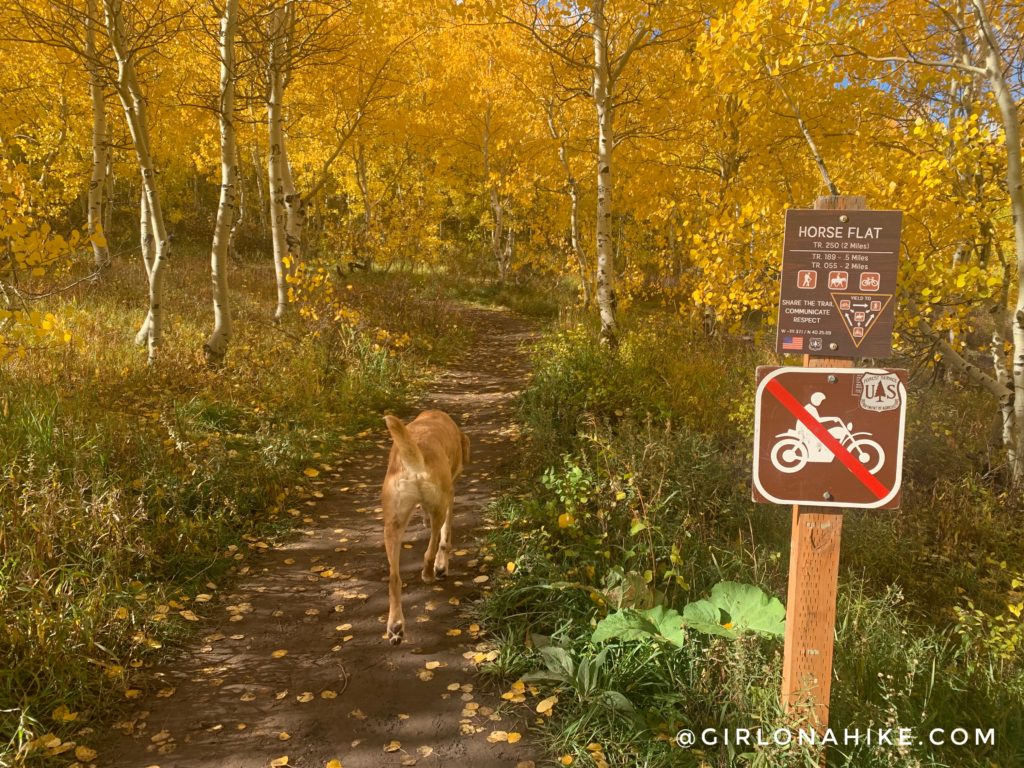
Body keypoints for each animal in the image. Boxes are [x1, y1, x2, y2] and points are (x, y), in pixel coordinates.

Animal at [382, 411, 468, 647]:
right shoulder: (450, 497)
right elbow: (445, 540)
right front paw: (442, 566)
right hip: (440, 507)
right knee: (429, 551)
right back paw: (430, 574)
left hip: (392, 526)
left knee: (394, 578)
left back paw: (395, 626)